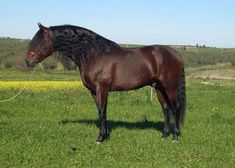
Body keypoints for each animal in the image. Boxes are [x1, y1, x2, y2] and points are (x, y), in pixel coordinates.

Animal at [25, 22, 185, 143]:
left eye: (40, 41)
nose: (28, 61)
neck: (94, 54)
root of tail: (176, 54)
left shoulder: (102, 89)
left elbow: (102, 111)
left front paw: (100, 138)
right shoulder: (94, 91)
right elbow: (100, 111)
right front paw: (105, 135)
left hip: (170, 87)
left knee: (176, 107)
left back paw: (175, 136)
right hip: (159, 88)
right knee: (166, 108)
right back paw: (164, 135)